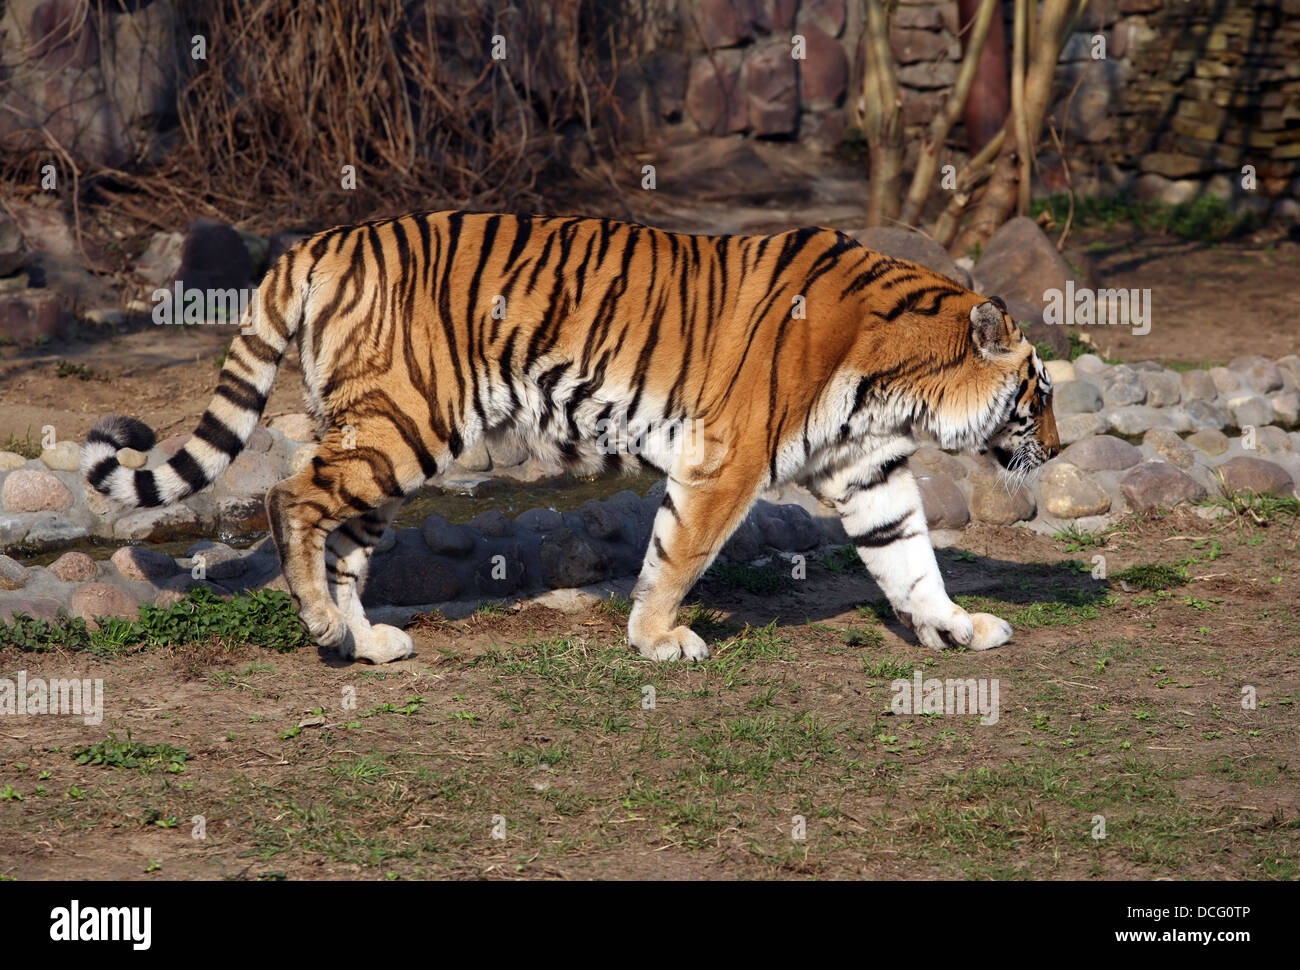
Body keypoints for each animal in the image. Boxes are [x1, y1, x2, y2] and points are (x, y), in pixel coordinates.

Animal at [81, 209, 1055, 665]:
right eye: (1038, 394)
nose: (1060, 446)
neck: (901, 384)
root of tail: (322, 241)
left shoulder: (869, 474)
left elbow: (910, 558)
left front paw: (957, 627)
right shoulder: (724, 461)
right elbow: (678, 556)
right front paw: (660, 640)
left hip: (383, 438)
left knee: (342, 537)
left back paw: (365, 644)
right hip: (403, 424)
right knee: (292, 498)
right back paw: (323, 627)